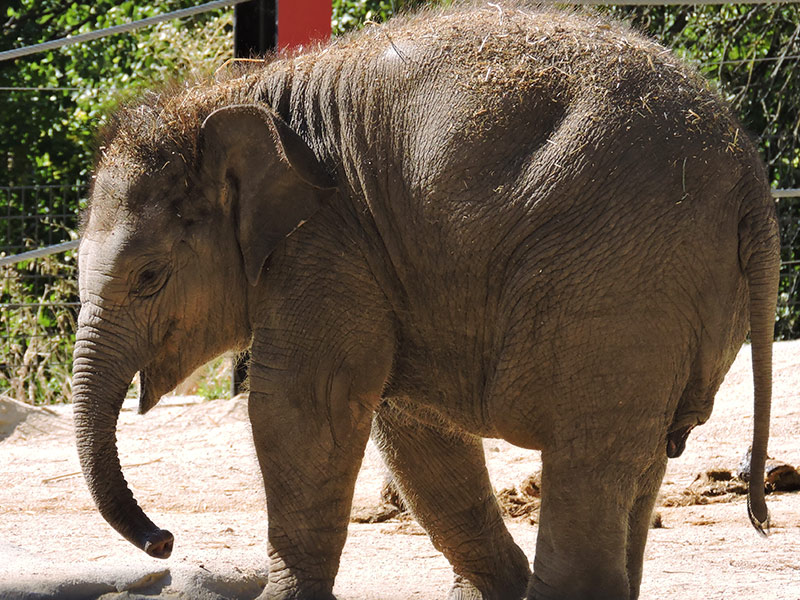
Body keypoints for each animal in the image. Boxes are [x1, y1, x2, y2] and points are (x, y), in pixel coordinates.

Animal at [72, 4, 780, 600]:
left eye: (149, 276)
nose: (164, 542)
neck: (234, 96)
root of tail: (750, 172)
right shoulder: (374, 261)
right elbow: (410, 428)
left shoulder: (327, 246)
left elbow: (303, 407)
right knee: (641, 455)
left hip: (620, 273)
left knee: (589, 452)